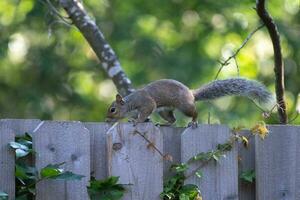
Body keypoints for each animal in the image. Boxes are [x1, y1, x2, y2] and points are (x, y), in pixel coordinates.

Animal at [106, 77, 274, 126]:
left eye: (112, 109)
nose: (106, 120)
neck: (129, 104)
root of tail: (191, 93)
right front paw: (138, 120)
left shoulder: (146, 103)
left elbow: (145, 111)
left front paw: (138, 121)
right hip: (165, 111)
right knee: (172, 120)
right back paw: (164, 124)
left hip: (184, 106)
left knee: (194, 112)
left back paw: (193, 121)